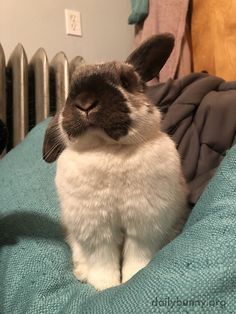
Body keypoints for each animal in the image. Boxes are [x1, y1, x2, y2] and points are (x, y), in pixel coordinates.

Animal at [42, 33, 190, 290]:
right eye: (70, 89)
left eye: (126, 81)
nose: (85, 102)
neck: (108, 149)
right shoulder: (96, 231)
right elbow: (102, 262)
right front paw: (105, 287)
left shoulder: (145, 227)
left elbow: (137, 257)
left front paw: (131, 280)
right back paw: (81, 272)